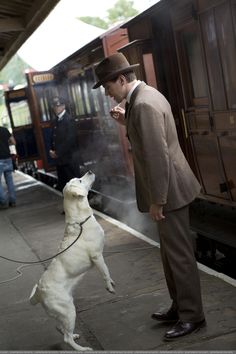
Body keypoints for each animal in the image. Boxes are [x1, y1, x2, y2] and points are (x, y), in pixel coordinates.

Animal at [30, 171, 115, 352]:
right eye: (80, 180)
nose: (89, 171)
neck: (80, 221)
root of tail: (40, 291)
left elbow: (107, 271)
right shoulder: (97, 256)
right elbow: (105, 271)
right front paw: (109, 287)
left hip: (62, 313)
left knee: (61, 329)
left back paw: (74, 336)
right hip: (69, 310)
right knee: (66, 338)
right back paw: (82, 348)